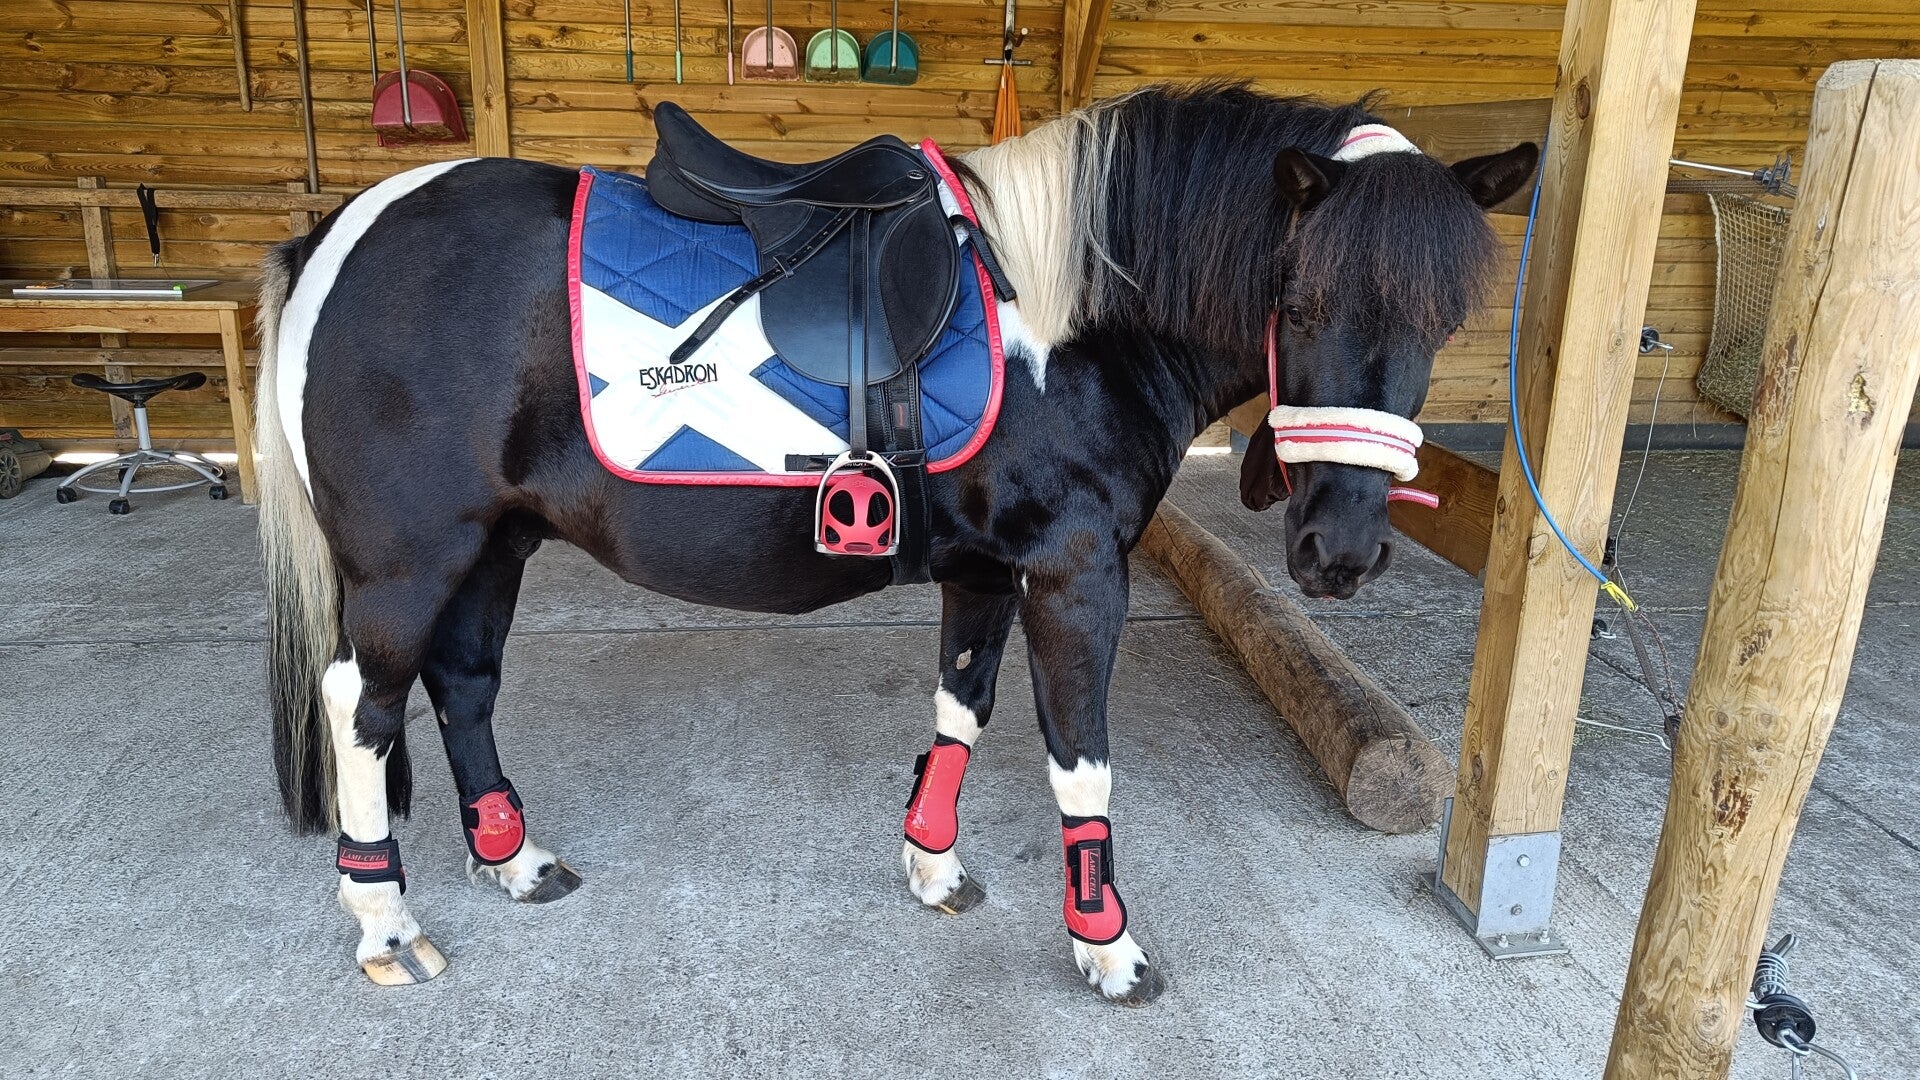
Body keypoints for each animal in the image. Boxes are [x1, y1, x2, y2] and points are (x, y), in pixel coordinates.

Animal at [255, 82, 1535, 1004]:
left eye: (1442, 321)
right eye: (1303, 302)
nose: (1343, 554)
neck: (1070, 318)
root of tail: (336, 233)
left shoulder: (986, 568)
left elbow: (959, 707)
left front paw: (931, 862)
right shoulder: (1076, 573)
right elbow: (1081, 762)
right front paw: (1105, 942)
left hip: (494, 546)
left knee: (464, 686)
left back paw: (513, 859)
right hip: (406, 566)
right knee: (362, 706)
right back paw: (385, 921)